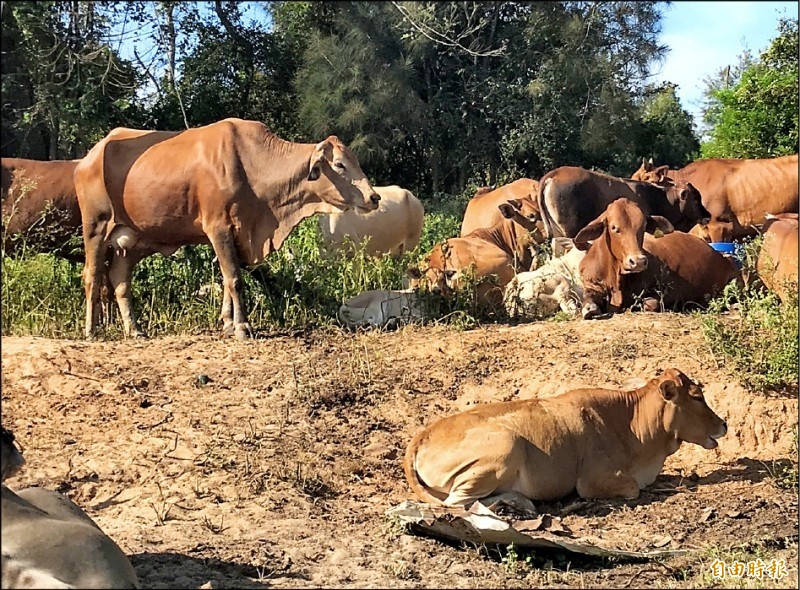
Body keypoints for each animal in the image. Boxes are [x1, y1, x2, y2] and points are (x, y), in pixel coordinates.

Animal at [78, 118, 382, 340]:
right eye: (340, 165)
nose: (374, 197)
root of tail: (92, 154)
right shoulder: (218, 228)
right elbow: (235, 279)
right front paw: (242, 327)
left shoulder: (238, 233)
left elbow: (227, 279)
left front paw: (227, 323)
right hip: (96, 225)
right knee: (92, 274)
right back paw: (91, 331)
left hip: (133, 242)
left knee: (120, 280)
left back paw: (135, 329)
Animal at [404, 368, 728, 506]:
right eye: (697, 396)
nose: (724, 424)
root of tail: (423, 435)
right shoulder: (592, 481)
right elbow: (633, 488)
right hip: (506, 445)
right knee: (457, 503)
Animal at [576, 200, 736, 322]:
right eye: (614, 227)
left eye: (643, 227)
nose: (638, 261)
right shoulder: (590, 284)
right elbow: (589, 302)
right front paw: (590, 309)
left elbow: (651, 303)